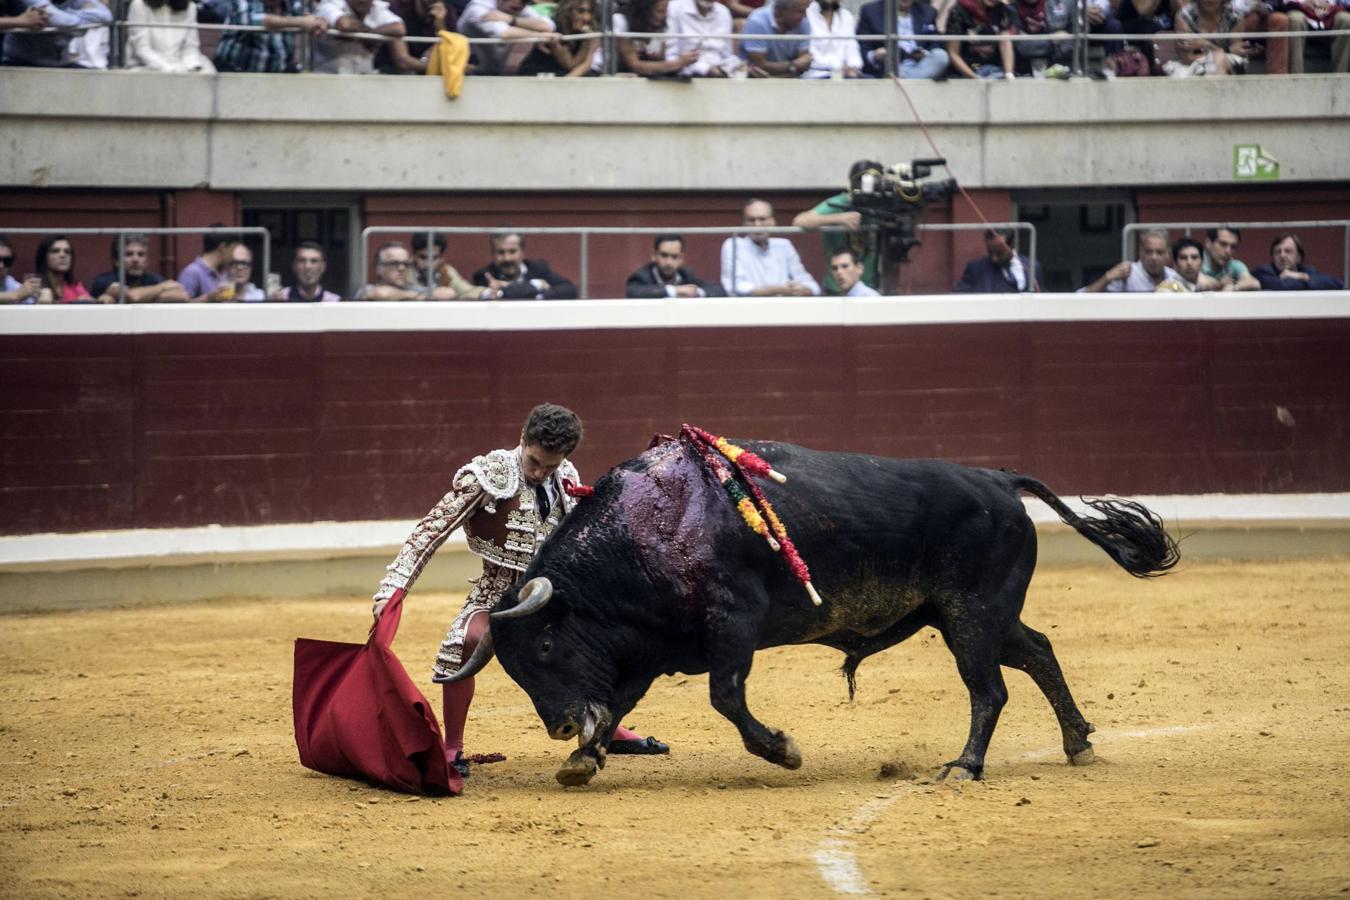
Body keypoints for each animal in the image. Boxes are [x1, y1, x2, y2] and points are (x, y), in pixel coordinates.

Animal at [448, 439, 1177, 782]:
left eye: (545, 647)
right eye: (517, 669)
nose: (561, 728)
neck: (649, 529)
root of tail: (998, 479)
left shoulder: (732, 626)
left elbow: (726, 698)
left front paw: (783, 750)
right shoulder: (649, 651)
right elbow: (623, 700)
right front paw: (584, 760)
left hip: (972, 616)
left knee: (990, 689)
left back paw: (965, 766)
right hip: (970, 615)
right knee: (1038, 651)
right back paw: (1078, 743)